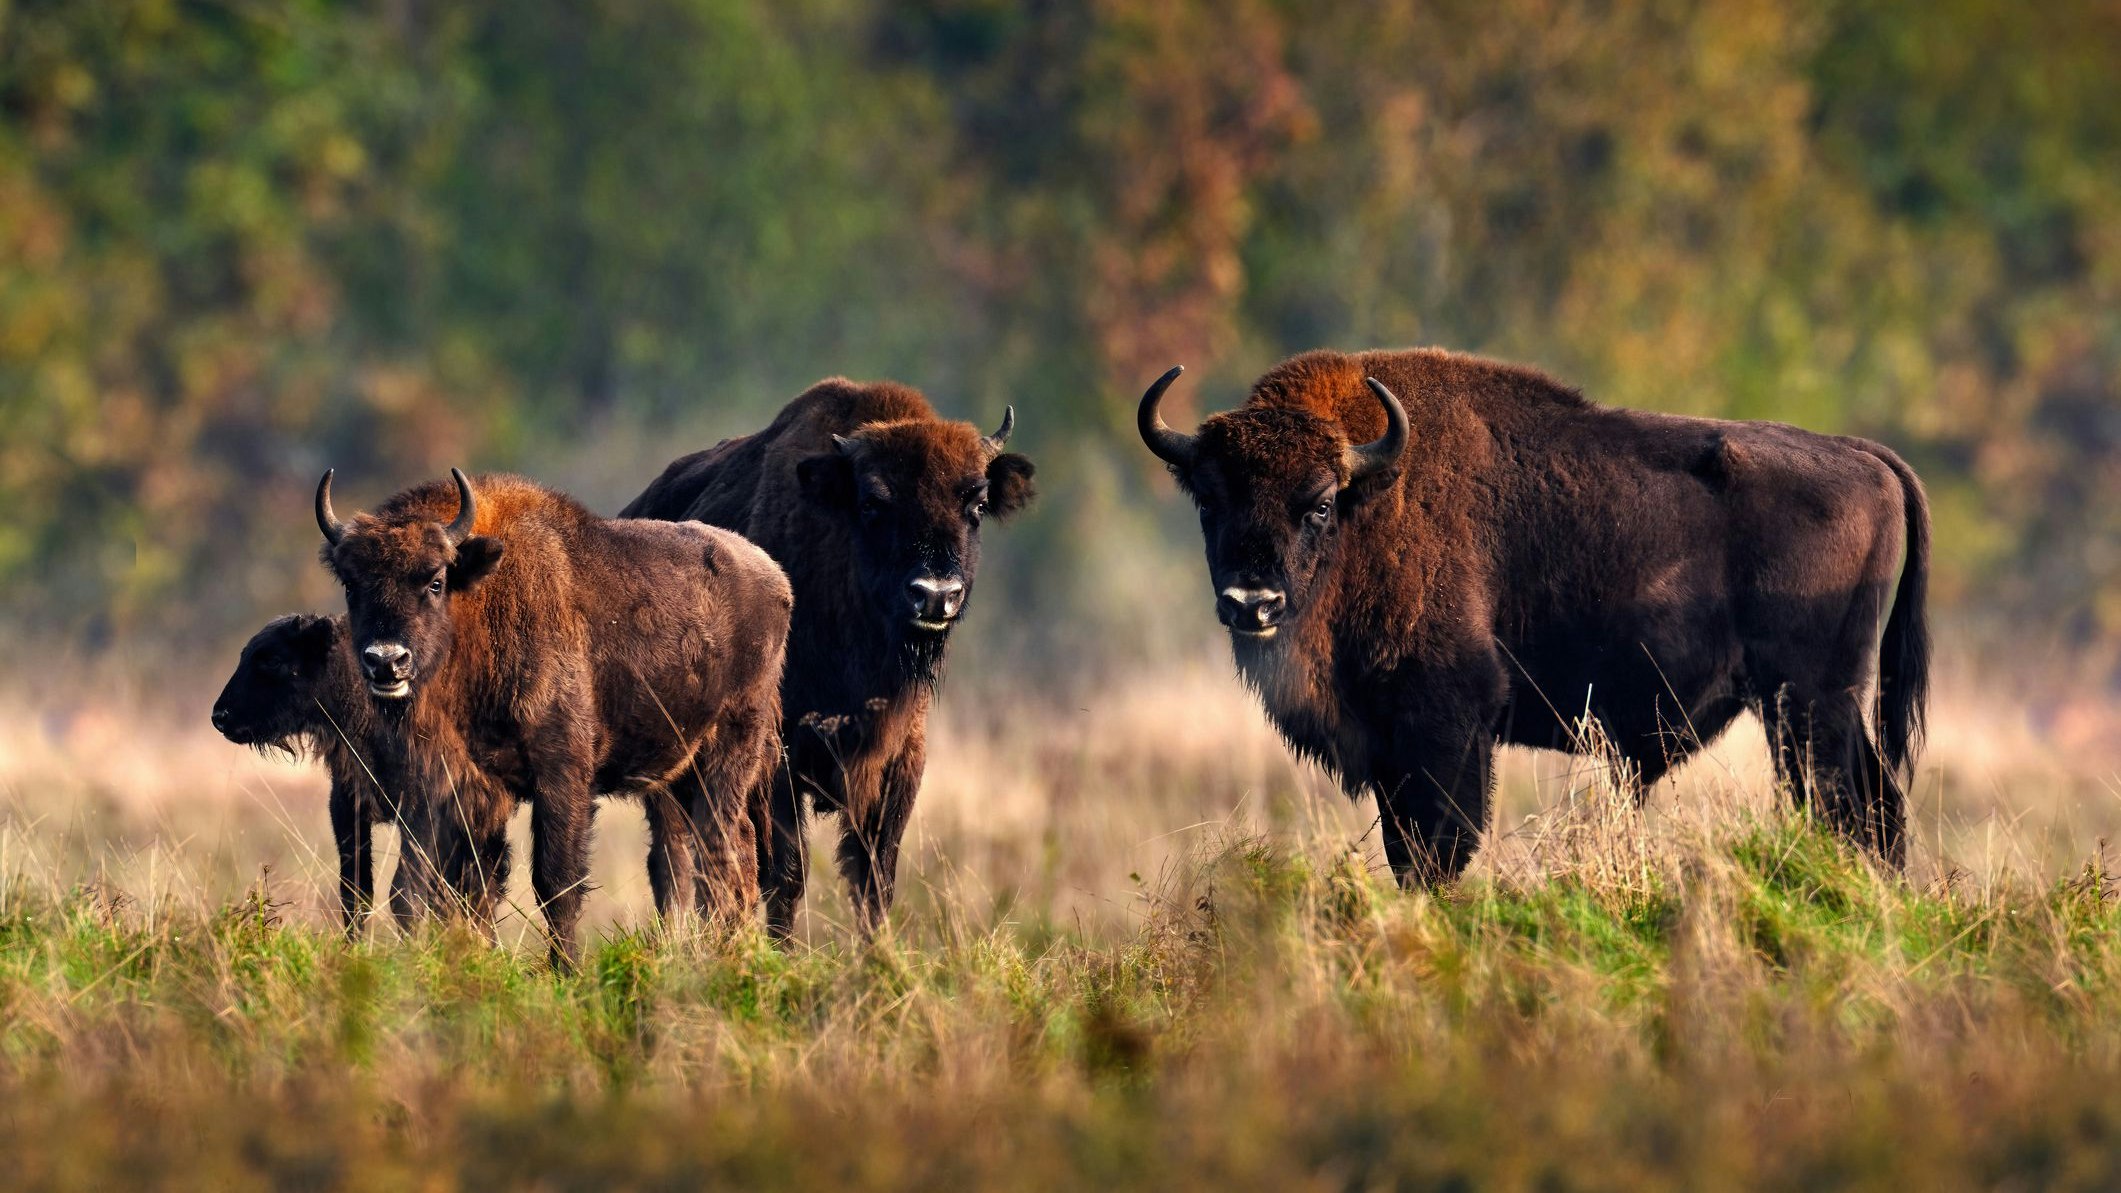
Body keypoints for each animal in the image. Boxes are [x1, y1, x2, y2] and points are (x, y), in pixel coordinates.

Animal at [315, 468, 792, 964]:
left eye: (435, 581)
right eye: (351, 585)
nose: (386, 661)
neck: (482, 602)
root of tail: (775, 579)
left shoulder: (560, 775)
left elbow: (554, 883)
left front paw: (566, 969)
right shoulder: (468, 787)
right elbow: (469, 884)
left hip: (728, 756)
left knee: (722, 850)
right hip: (676, 776)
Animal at [621, 379, 1036, 938]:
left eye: (977, 502)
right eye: (873, 502)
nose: (934, 595)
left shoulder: (899, 760)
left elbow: (874, 878)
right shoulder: (781, 760)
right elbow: (786, 873)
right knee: (673, 862)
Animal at [1135, 348, 1930, 882]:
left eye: (1320, 504)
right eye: (1209, 502)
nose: (1253, 603)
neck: (1374, 495)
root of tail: (1864, 456)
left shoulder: (1447, 724)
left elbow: (1437, 849)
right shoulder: (1390, 742)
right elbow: (1404, 848)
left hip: (1809, 706)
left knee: (1849, 808)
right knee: (1876, 811)